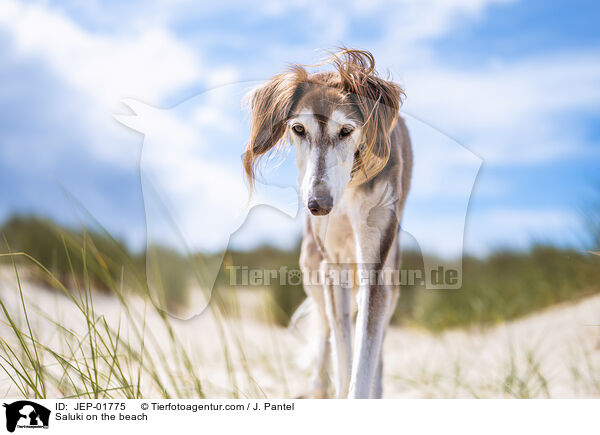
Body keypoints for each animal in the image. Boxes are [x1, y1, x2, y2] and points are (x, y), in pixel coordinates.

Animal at [244, 49, 412, 400]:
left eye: (346, 131)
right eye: (298, 129)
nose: (318, 206)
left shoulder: (375, 266)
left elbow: (364, 355)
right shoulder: (331, 264)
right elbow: (342, 351)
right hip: (311, 265)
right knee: (325, 329)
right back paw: (318, 386)